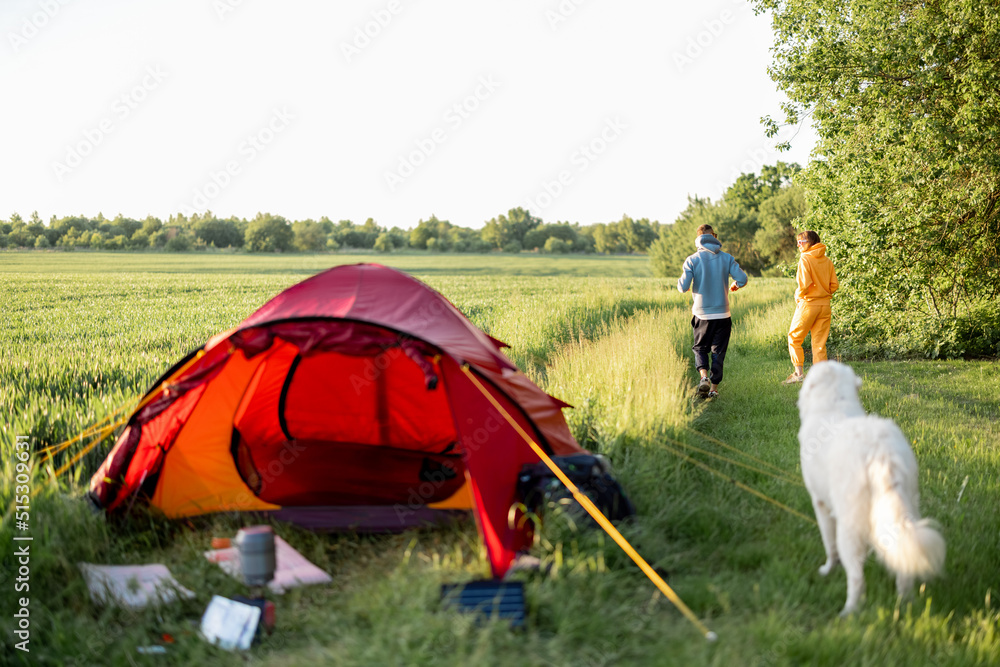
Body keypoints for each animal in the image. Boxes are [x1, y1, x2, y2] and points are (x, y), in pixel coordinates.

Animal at [796, 362, 944, 620]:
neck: (834, 403)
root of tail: (881, 452)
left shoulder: (820, 504)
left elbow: (829, 544)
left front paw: (827, 569)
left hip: (850, 527)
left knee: (856, 577)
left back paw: (848, 613)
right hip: (906, 510)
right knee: (904, 569)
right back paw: (905, 606)